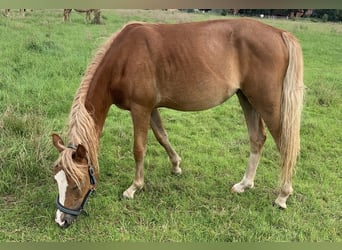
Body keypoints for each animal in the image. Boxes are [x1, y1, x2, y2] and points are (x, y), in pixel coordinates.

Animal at [52, 18, 304, 228]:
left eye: (77, 183)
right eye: (57, 179)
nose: (61, 220)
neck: (124, 58)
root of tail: (279, 33)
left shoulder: (140, 108)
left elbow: (139, 148)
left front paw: (134, 188)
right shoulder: (151, 108)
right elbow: (162, 136)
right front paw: (176, 165)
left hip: (266, 102)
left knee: (284, 145)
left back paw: (282, 196)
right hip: (246, 98)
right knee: (257, 139)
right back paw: (244, 185)